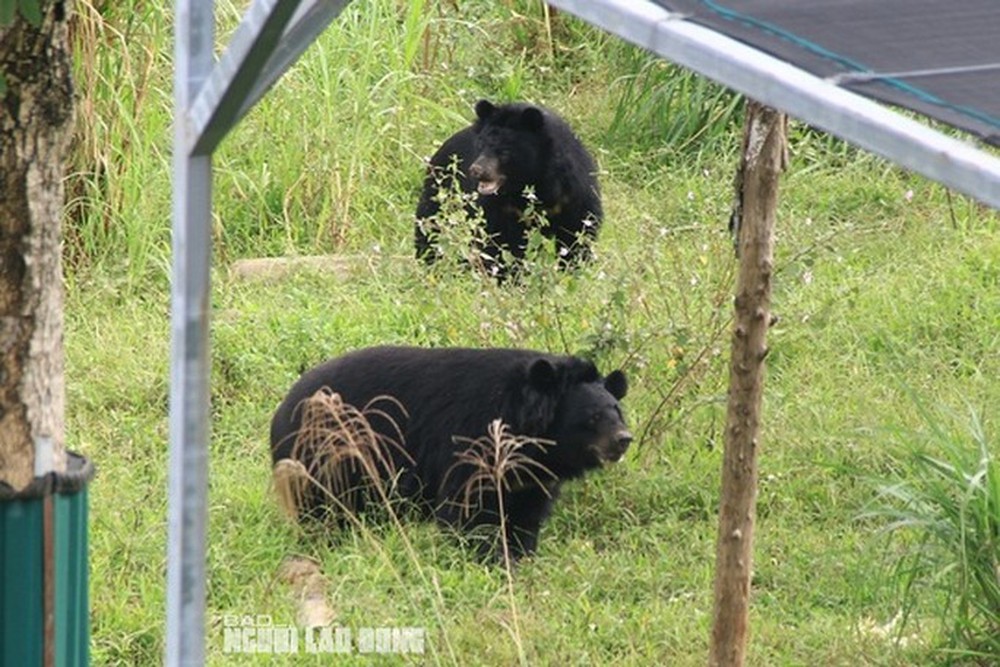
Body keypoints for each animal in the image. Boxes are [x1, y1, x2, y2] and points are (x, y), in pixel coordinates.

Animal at [272, 348, 632, 560]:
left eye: (617, 411)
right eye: (593, 417)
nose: (623, 440)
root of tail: (282, 410)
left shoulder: (531, 477)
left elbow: (525, 516)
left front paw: (519, 558)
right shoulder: (473, 440)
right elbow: (468, 509)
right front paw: (485, 559)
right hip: (326, 457)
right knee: (322, 510)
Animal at [414, 98, 600, 278]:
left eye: (505, 152)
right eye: (480, 146)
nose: (476, 170)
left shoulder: (574, 195)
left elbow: (578, 234)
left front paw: (574, 272)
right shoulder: (498, 207)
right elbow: (499, 241)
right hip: (440, 192)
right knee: (429, 226)